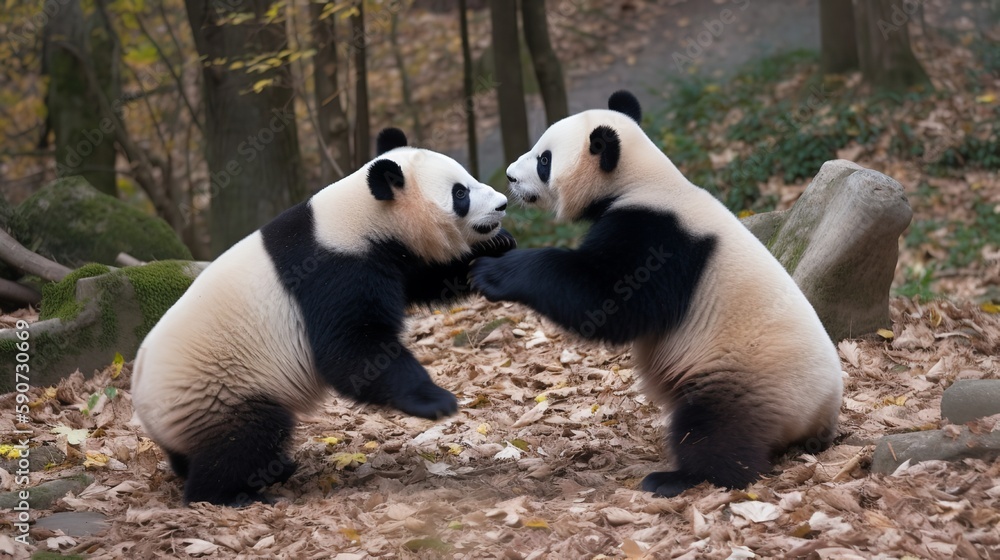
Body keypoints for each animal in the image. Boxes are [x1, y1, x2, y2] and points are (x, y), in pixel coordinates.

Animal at [132, 128, 513, 506]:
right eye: (460, 193)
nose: (502, 205)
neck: (357, 217)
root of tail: (145, 412)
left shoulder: (391, 256)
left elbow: (429, 279)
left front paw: (498, 249)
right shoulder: (332, 271)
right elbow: (351, 349)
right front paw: (434, 400)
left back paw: (267, 471)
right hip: (219, 390)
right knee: (245, 437)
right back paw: (231, 495)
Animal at [470, 91, 843, 497]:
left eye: (544, 160)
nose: (510, 176)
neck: (642, 180)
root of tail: (818, 419)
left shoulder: (661, 239)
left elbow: (604, 301)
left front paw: (493, 273)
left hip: (749, 377)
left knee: (714, 429)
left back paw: (681, 477)